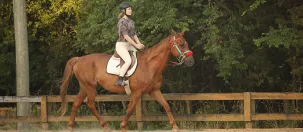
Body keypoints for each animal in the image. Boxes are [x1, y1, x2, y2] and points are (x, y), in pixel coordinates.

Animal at [58, 30, 196, 131]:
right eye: (181, 44)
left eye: (186, 43)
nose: (191, 62)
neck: (149, 65)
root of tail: (79, 59)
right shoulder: (137, 93)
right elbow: (130, 110)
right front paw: (123, 127)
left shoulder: (154, 91)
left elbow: (166, 105)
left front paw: (175, 126)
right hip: (90, 87)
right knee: (91, 105)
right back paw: (105, 126)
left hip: (84, 87)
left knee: (76, 103)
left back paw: (70, 127)